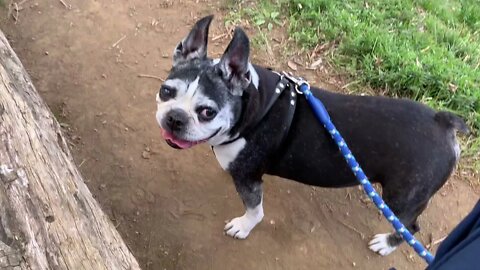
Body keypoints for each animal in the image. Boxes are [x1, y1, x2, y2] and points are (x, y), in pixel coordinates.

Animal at [156, 15, 466, 256]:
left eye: (207, 112)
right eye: (166, 91)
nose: (175, 118)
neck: (254, 104)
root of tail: (443, 122)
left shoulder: (249, 179)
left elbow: (255, 209)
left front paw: (244, 226)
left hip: (401, 198)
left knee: (410, 226)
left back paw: (386, 244)